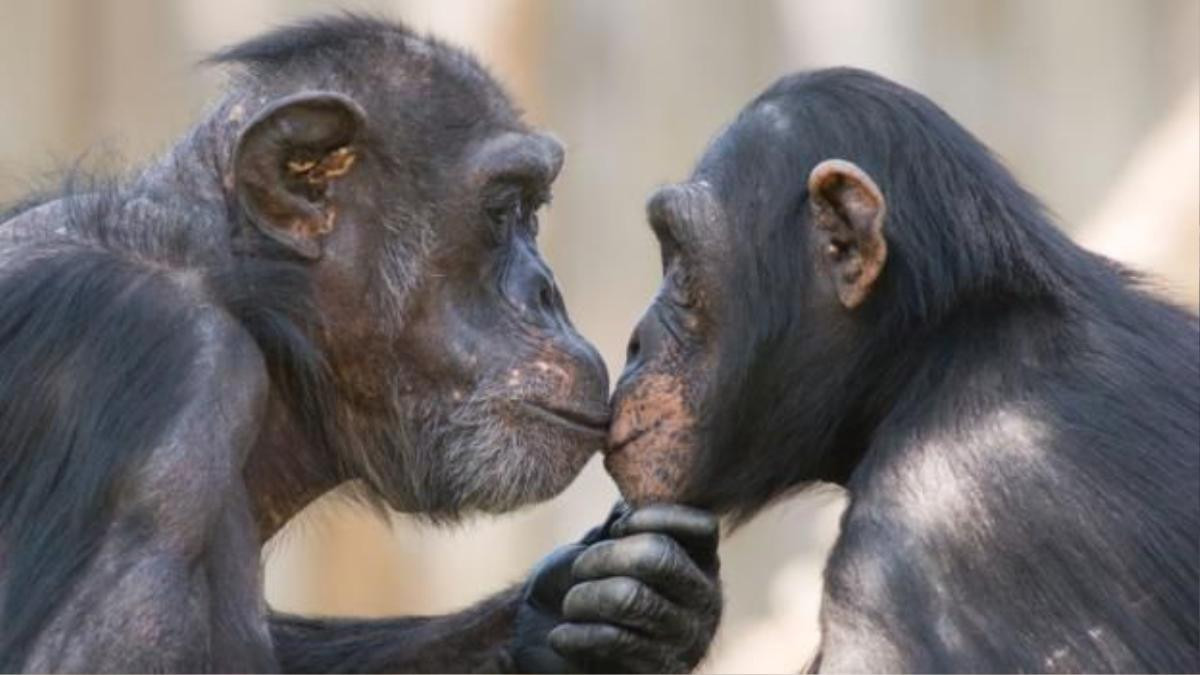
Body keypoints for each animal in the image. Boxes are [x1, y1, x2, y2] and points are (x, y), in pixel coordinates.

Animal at [0, 14, 715, 667]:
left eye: (534, 212)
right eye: (502, 209)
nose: (546, 293)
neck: (251, 295)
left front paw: (577, 609)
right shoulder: (171, 376)